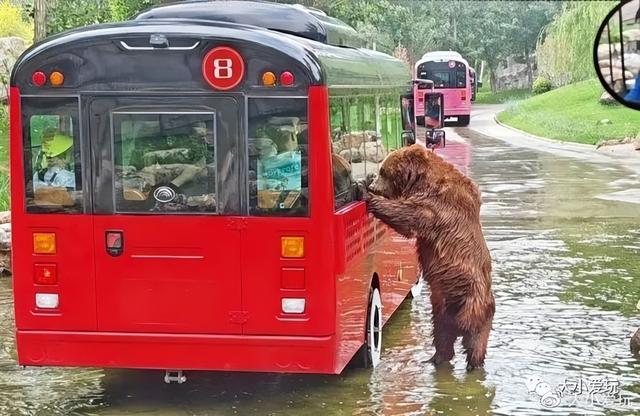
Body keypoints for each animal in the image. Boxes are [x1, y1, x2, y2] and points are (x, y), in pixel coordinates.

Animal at [364, 145, 496, 368]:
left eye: (384, 171)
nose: (373, 186)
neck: (422, 181)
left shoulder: (436, 206)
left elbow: (407, 216)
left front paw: (369, 197)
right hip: (442, 308)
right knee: (443, 336)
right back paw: (435, 358)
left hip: (474, 304)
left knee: (475, 343)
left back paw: (471, 362)